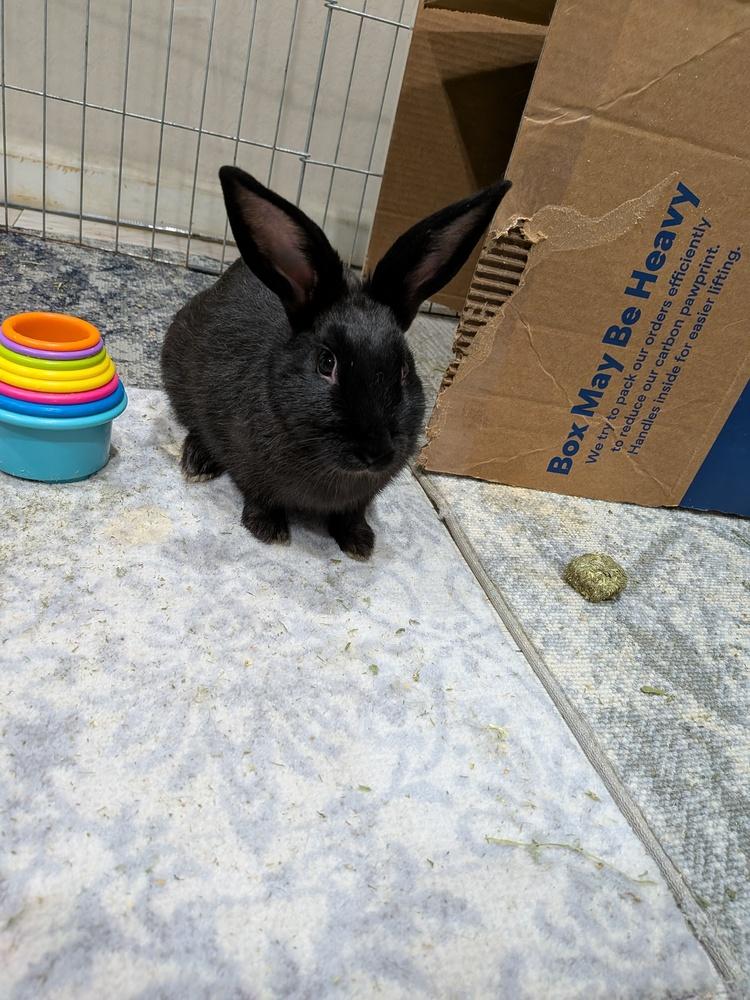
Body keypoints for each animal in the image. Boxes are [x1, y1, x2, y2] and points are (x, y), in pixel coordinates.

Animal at [161, 165, 511, 560]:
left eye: (404, 369)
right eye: (326, 364)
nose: (376, 453)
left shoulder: (361, 497)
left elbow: (352, 513)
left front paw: (360, 543)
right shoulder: (251, 469)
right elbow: (260, 496)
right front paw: (269, 531)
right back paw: (197, 462)